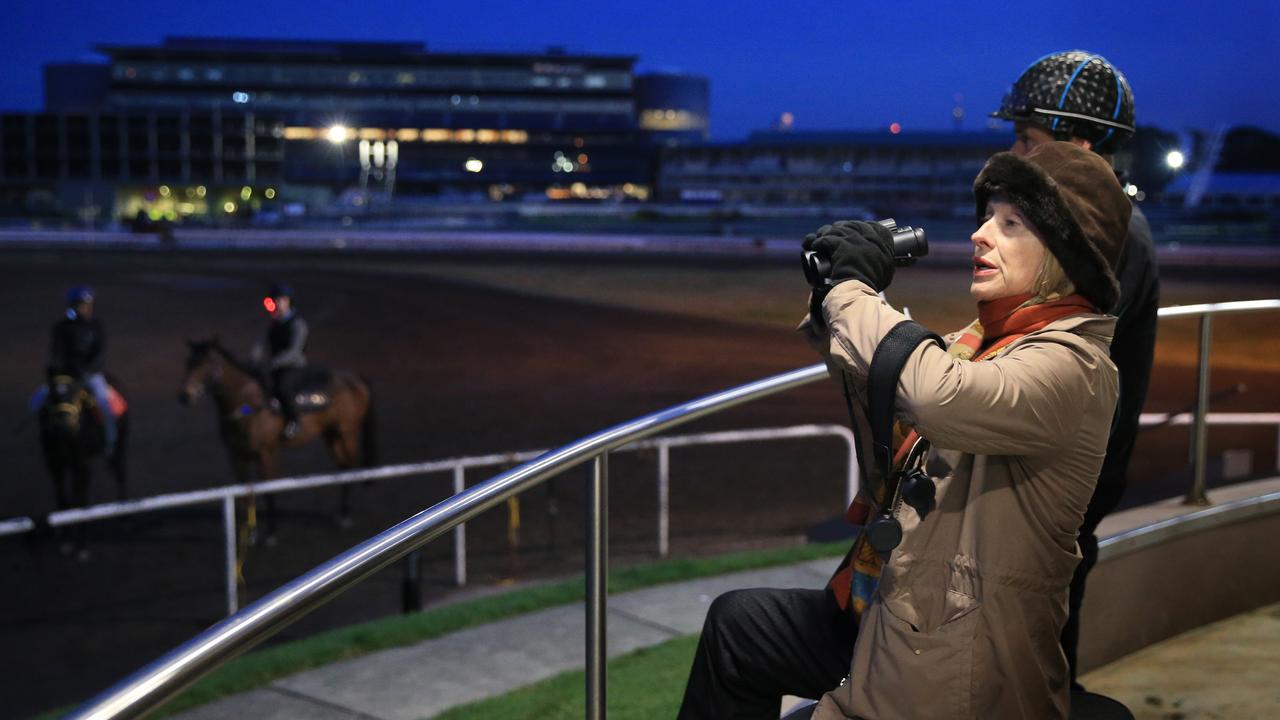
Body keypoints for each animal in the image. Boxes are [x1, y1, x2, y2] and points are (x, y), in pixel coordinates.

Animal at [39, 371, 129, 558]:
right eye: (52, 394)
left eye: (75, 393)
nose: (64, 425)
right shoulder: (54, 464)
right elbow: (62, 497)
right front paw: (66, 539)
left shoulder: (80, 462)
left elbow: (79, 499)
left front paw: (81, 545)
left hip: (119, 446)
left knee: (120, 474)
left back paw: (124, 516)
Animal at [180, 335, 378, 538]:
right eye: (188, 362)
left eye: (207, 363)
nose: (185, 396)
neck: (248, 404)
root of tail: (354, 378)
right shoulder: (237, 455)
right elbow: (244, 492)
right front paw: (249, 531)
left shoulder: (267, 452)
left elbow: (269, 488)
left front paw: (271, 532)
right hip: (331, 435)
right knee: (342, 467)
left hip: (347, 432)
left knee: (350, 466)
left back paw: (345, 514)